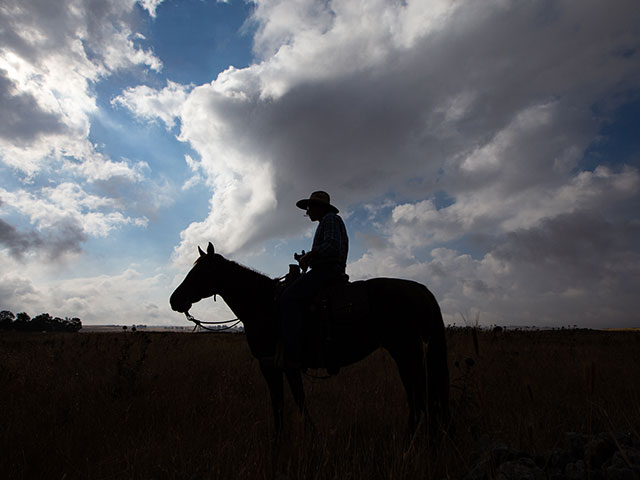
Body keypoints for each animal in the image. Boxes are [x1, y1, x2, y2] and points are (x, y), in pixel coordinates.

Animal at [170, 244, 450, 436]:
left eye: (200, 272)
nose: (175, 300)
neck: (263, 304)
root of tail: (421, 289)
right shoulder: (286, 365)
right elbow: (296, 399)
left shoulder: (270, 363)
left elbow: (282, 402)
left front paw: (284, 439)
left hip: (407, 354)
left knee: (420, 398)